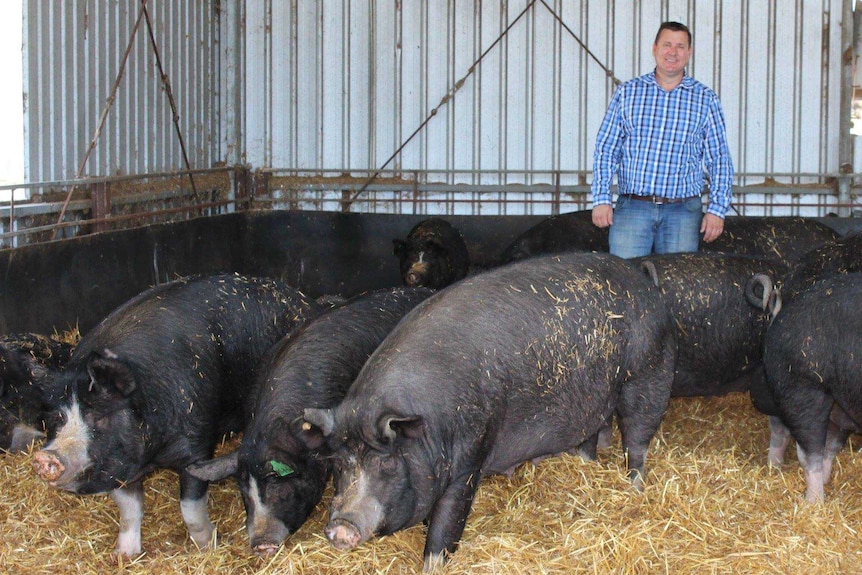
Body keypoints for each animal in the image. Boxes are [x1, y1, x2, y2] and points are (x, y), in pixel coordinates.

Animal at [30, 274, 322, 560]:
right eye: (58, 417)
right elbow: (129, 509)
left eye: (97, 416)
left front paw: (207, 547)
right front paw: (124, 556)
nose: (45, 457)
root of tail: (303, 299)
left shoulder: (196, 445)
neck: (153, 456)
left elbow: (190, 507)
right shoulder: (122, 466)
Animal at [300, 252, 680, 572]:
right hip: (595, 396)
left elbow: (446, 526)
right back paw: (585, 465)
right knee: (591, 435)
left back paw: (635, 488)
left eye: (388, 463)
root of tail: (645, 281)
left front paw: (433, 565)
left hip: (649, 371)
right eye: (339, 464)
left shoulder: (471, 456)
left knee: (637, 437)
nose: (340, 526)